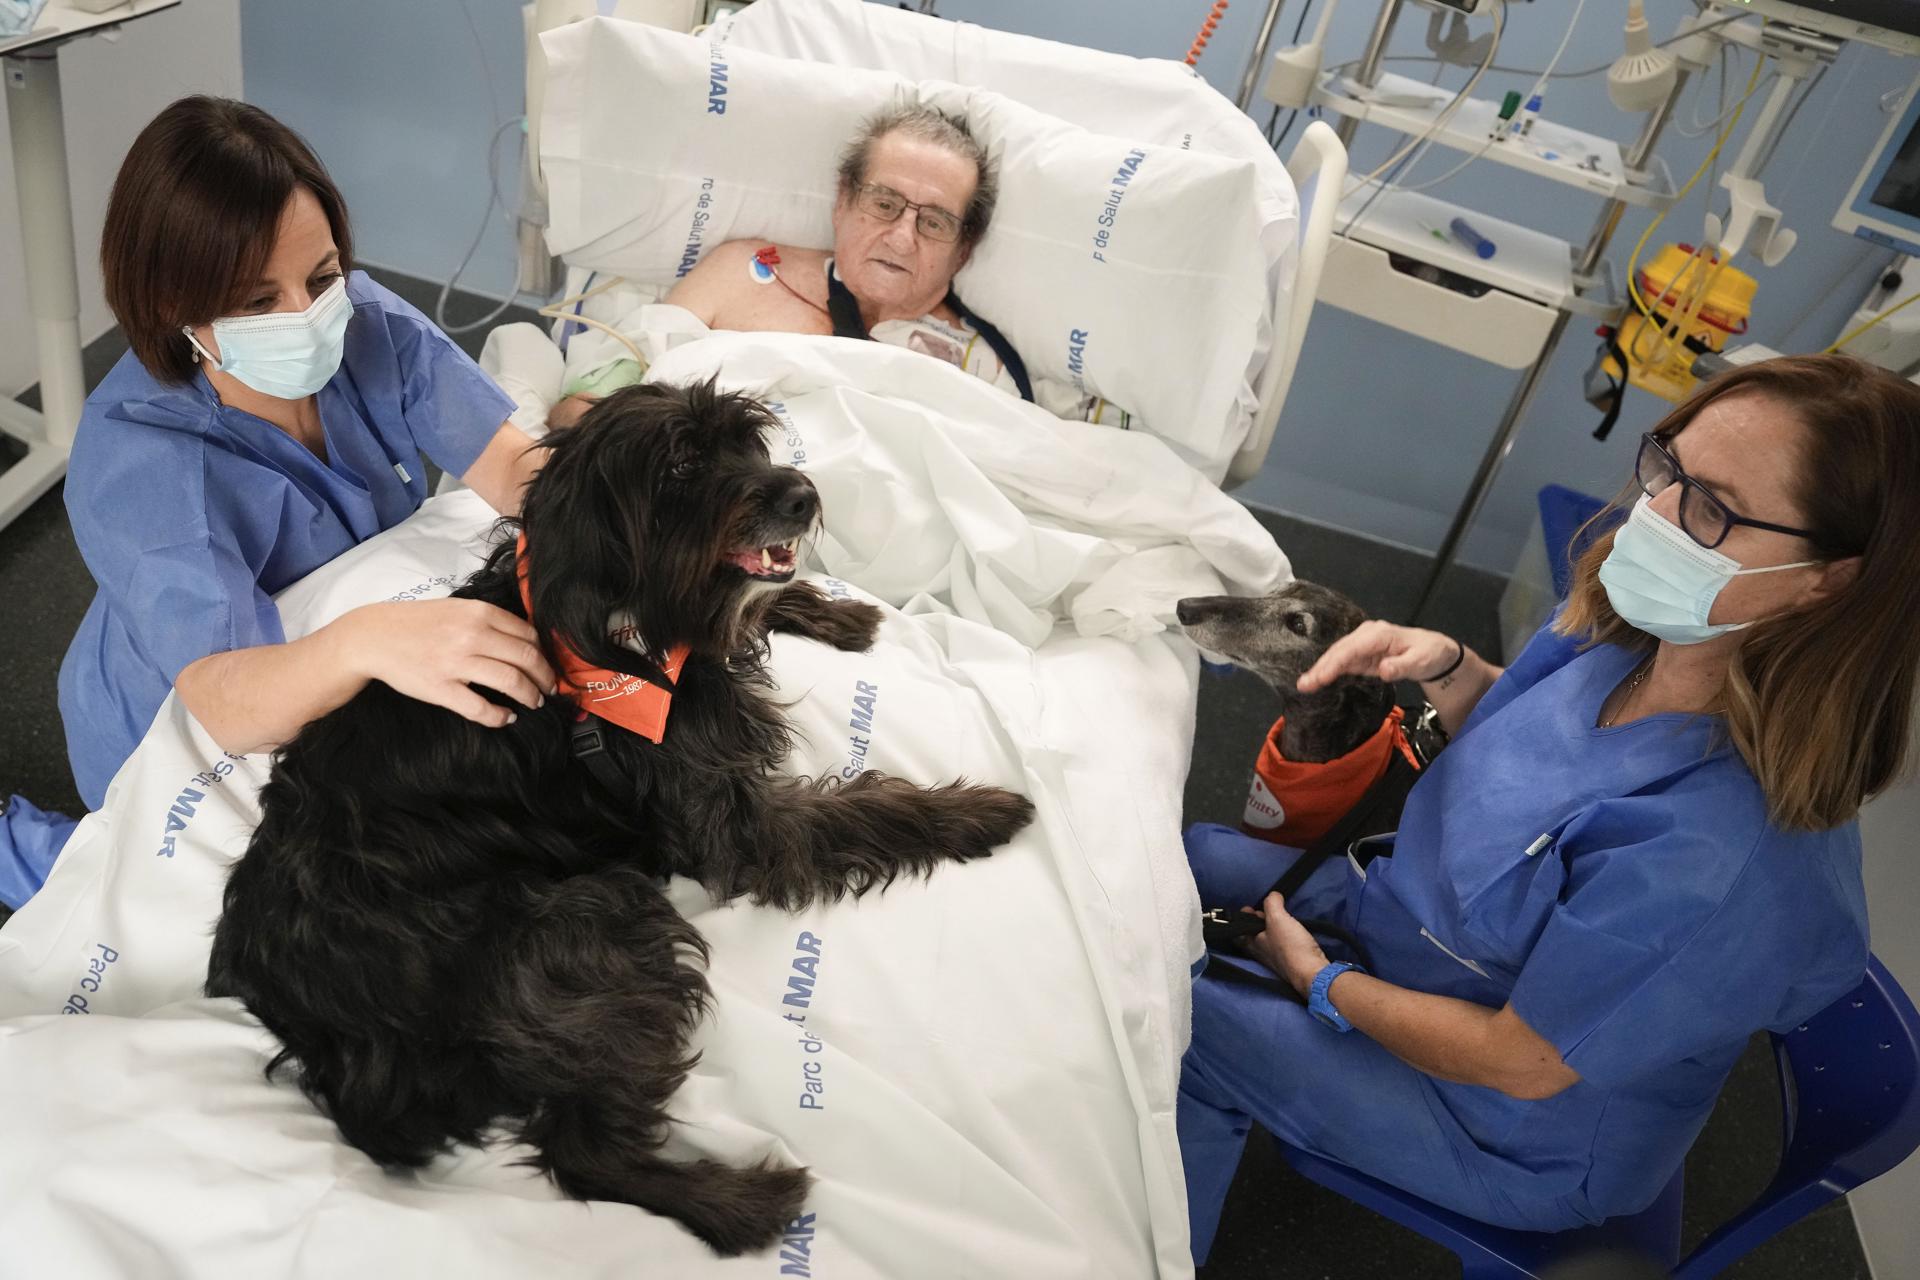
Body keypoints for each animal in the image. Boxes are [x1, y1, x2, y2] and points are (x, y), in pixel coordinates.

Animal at [206, 383, 1036, 1258]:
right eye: (679, 466)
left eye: (748, 442)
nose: (802, 494)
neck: (623, 632)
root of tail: (290, 996)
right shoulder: (738, 827)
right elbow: (864, 808)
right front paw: (979, 809)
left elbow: (747, 609)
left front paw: (832, 613)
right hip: (587, 918)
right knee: (582, 1152)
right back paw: (742, 1205)